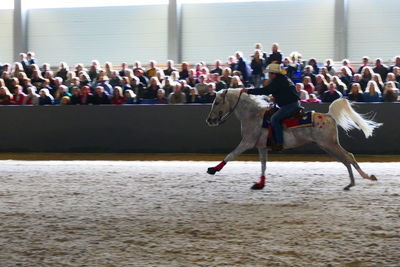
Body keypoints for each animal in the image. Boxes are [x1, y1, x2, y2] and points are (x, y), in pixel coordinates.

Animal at [205, 88, 382, 191]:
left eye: (217, 102)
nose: (209, 120)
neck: (254, 115)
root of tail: (328, 116)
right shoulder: (261, 147)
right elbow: (263, 166)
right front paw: (260, 184)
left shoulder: (247, 142)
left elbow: (231, 155)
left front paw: (213, 169)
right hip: (328, 146)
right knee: (345, 160)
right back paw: (353, 182)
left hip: (330, 144)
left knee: (348, 157)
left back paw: (362, 179)